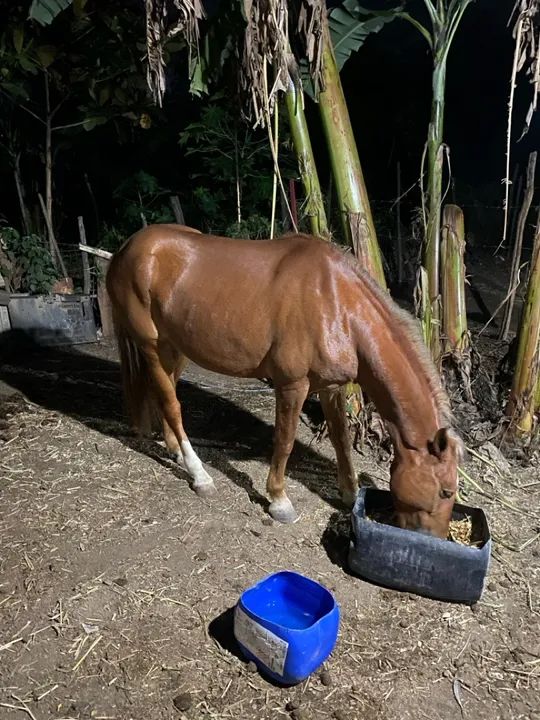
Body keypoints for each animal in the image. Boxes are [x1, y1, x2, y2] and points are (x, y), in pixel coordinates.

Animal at [106, 224, 463, 538]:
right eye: (446, 491)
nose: (436, 540)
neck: (338, 305)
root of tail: (127, 249)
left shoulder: (331, 389)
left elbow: (341, 440)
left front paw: (349, 494)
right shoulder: (293, 385)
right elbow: (285, 440)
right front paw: (279, 500)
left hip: (175, 347)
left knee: (164, 395)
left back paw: (176, 451)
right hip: (151, 346)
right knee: (172, 404)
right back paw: (199, 474)